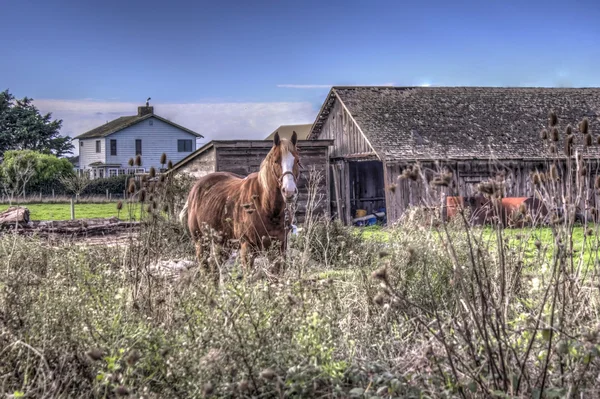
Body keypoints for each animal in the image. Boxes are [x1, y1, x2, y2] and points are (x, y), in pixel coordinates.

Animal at [178, 131, 300, 278]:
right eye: (276, 160)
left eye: (297, 161)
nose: (289, 191)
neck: (266, 208)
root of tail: (195, 188)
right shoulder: (247, 248)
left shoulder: (279, 248)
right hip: (201, 242)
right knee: (205, 267)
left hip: (222, 244)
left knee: (214, 268)